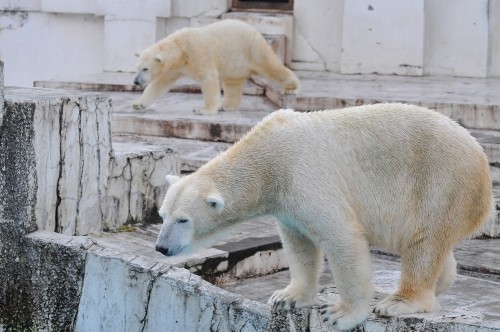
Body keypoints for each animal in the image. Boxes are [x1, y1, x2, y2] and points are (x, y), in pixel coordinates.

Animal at [131, 20, 298, 115]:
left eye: (145, 69)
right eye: (137, 68)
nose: (136, 82)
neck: (180, 48)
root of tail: (255, 30)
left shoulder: (199, 54)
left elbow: (208, 79)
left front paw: (203, 110)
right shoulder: (174, 68)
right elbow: (160, 84)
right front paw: (138, 104)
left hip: (252, 48)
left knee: (271, 66)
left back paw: (291, 88)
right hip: (234, 62)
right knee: (232, 83)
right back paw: (228, 106)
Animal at [155, 103, 492, 330]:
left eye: (183, 220)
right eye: (162, 215)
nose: (161, 247)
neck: (266, 158)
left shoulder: (304, 174)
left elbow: (342, 237)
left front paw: (340, 314)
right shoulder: (284, 201)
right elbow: (299, 245)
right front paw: (286, 297)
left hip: (441, 180)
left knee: (424, 239)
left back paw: (399, 302)